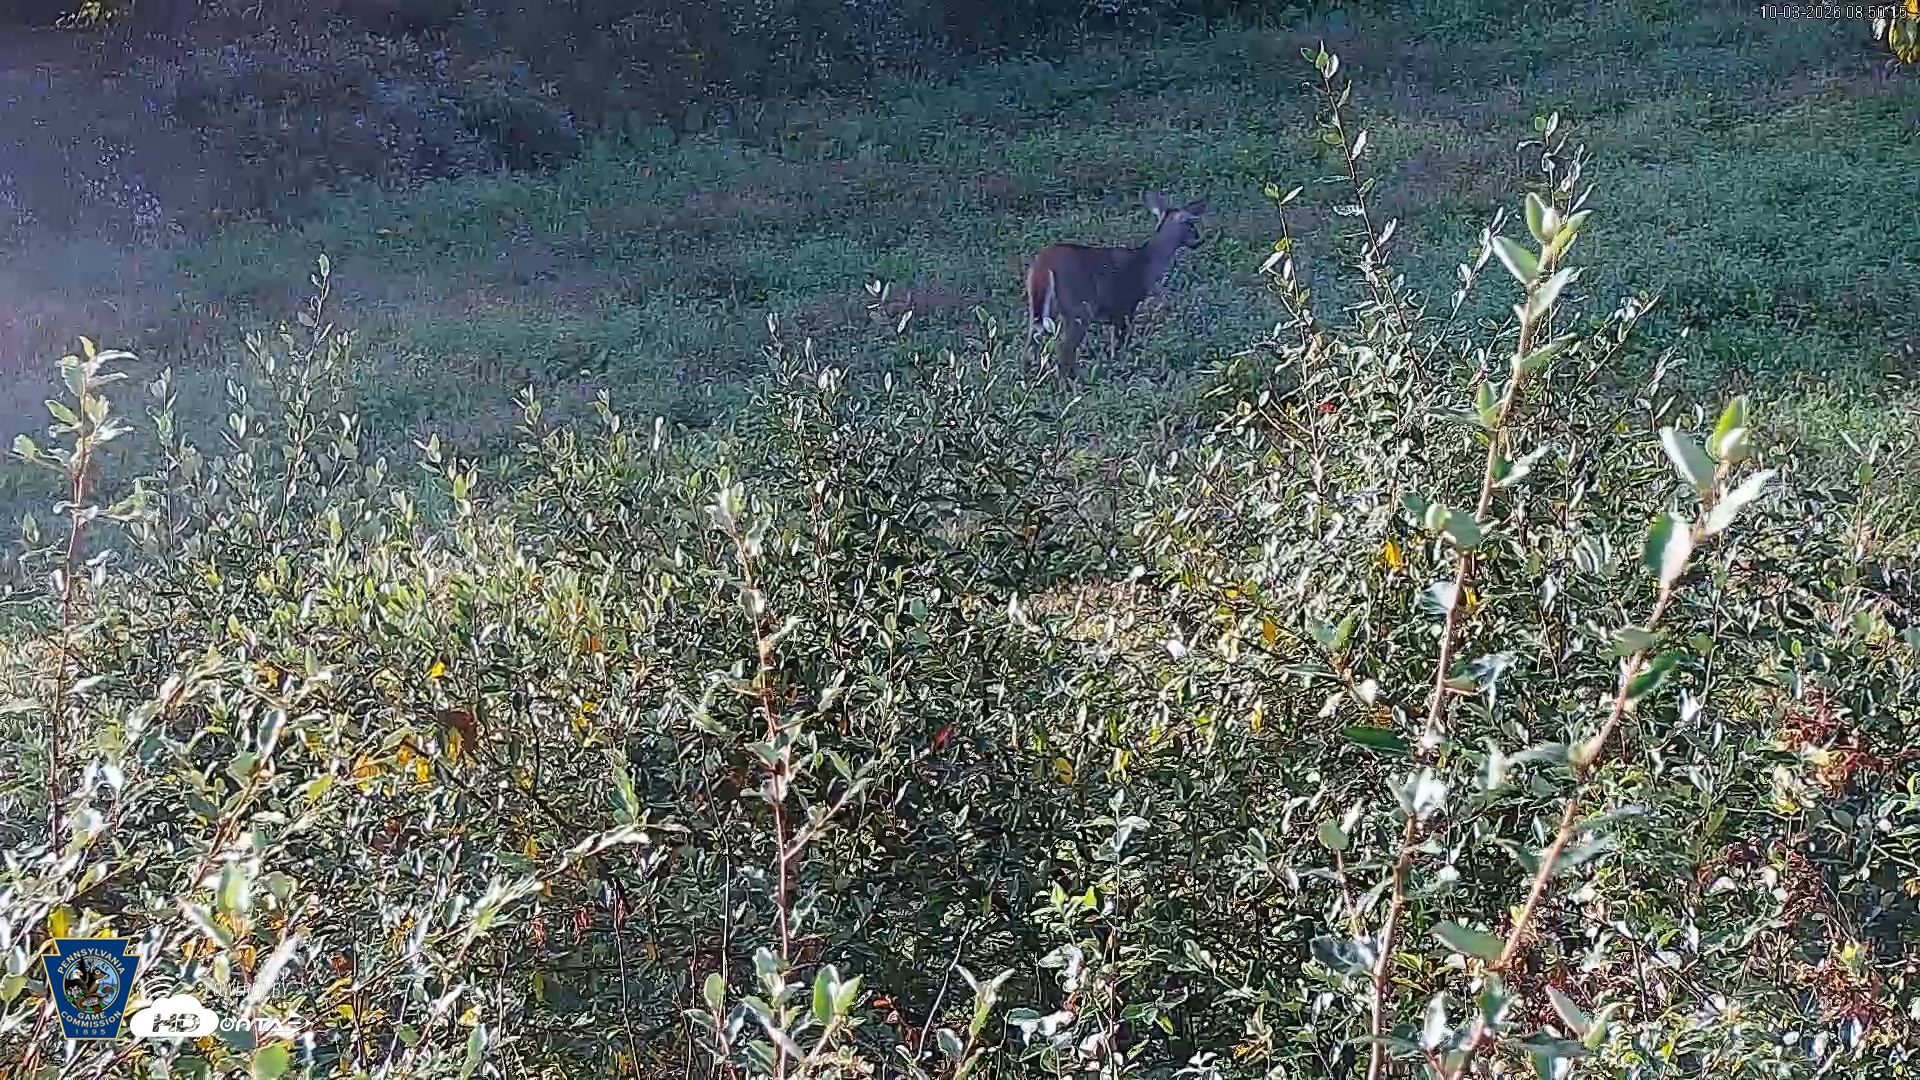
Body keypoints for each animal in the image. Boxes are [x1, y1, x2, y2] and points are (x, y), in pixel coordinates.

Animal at [1023, 192, 1208, 380]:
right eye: (1191, 224)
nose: (1200, 240)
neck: (1146, 264)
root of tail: (1043, 263)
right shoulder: (1125, 305)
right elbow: (1121, 342)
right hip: (1079, 305)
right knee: (1064, 349)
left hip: (1042, 306)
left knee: (1032, 342)